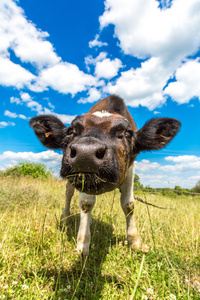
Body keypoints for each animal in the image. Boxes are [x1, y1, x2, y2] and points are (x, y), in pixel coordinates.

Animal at [30, 95, 181, 256]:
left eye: (128, 134)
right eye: (71, 131)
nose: (86, 153)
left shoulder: (130, 169)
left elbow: (129, 204)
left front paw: (134, 241)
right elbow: (86, 203)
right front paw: (83, 243)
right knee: (68, 194)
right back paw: (65, 218)